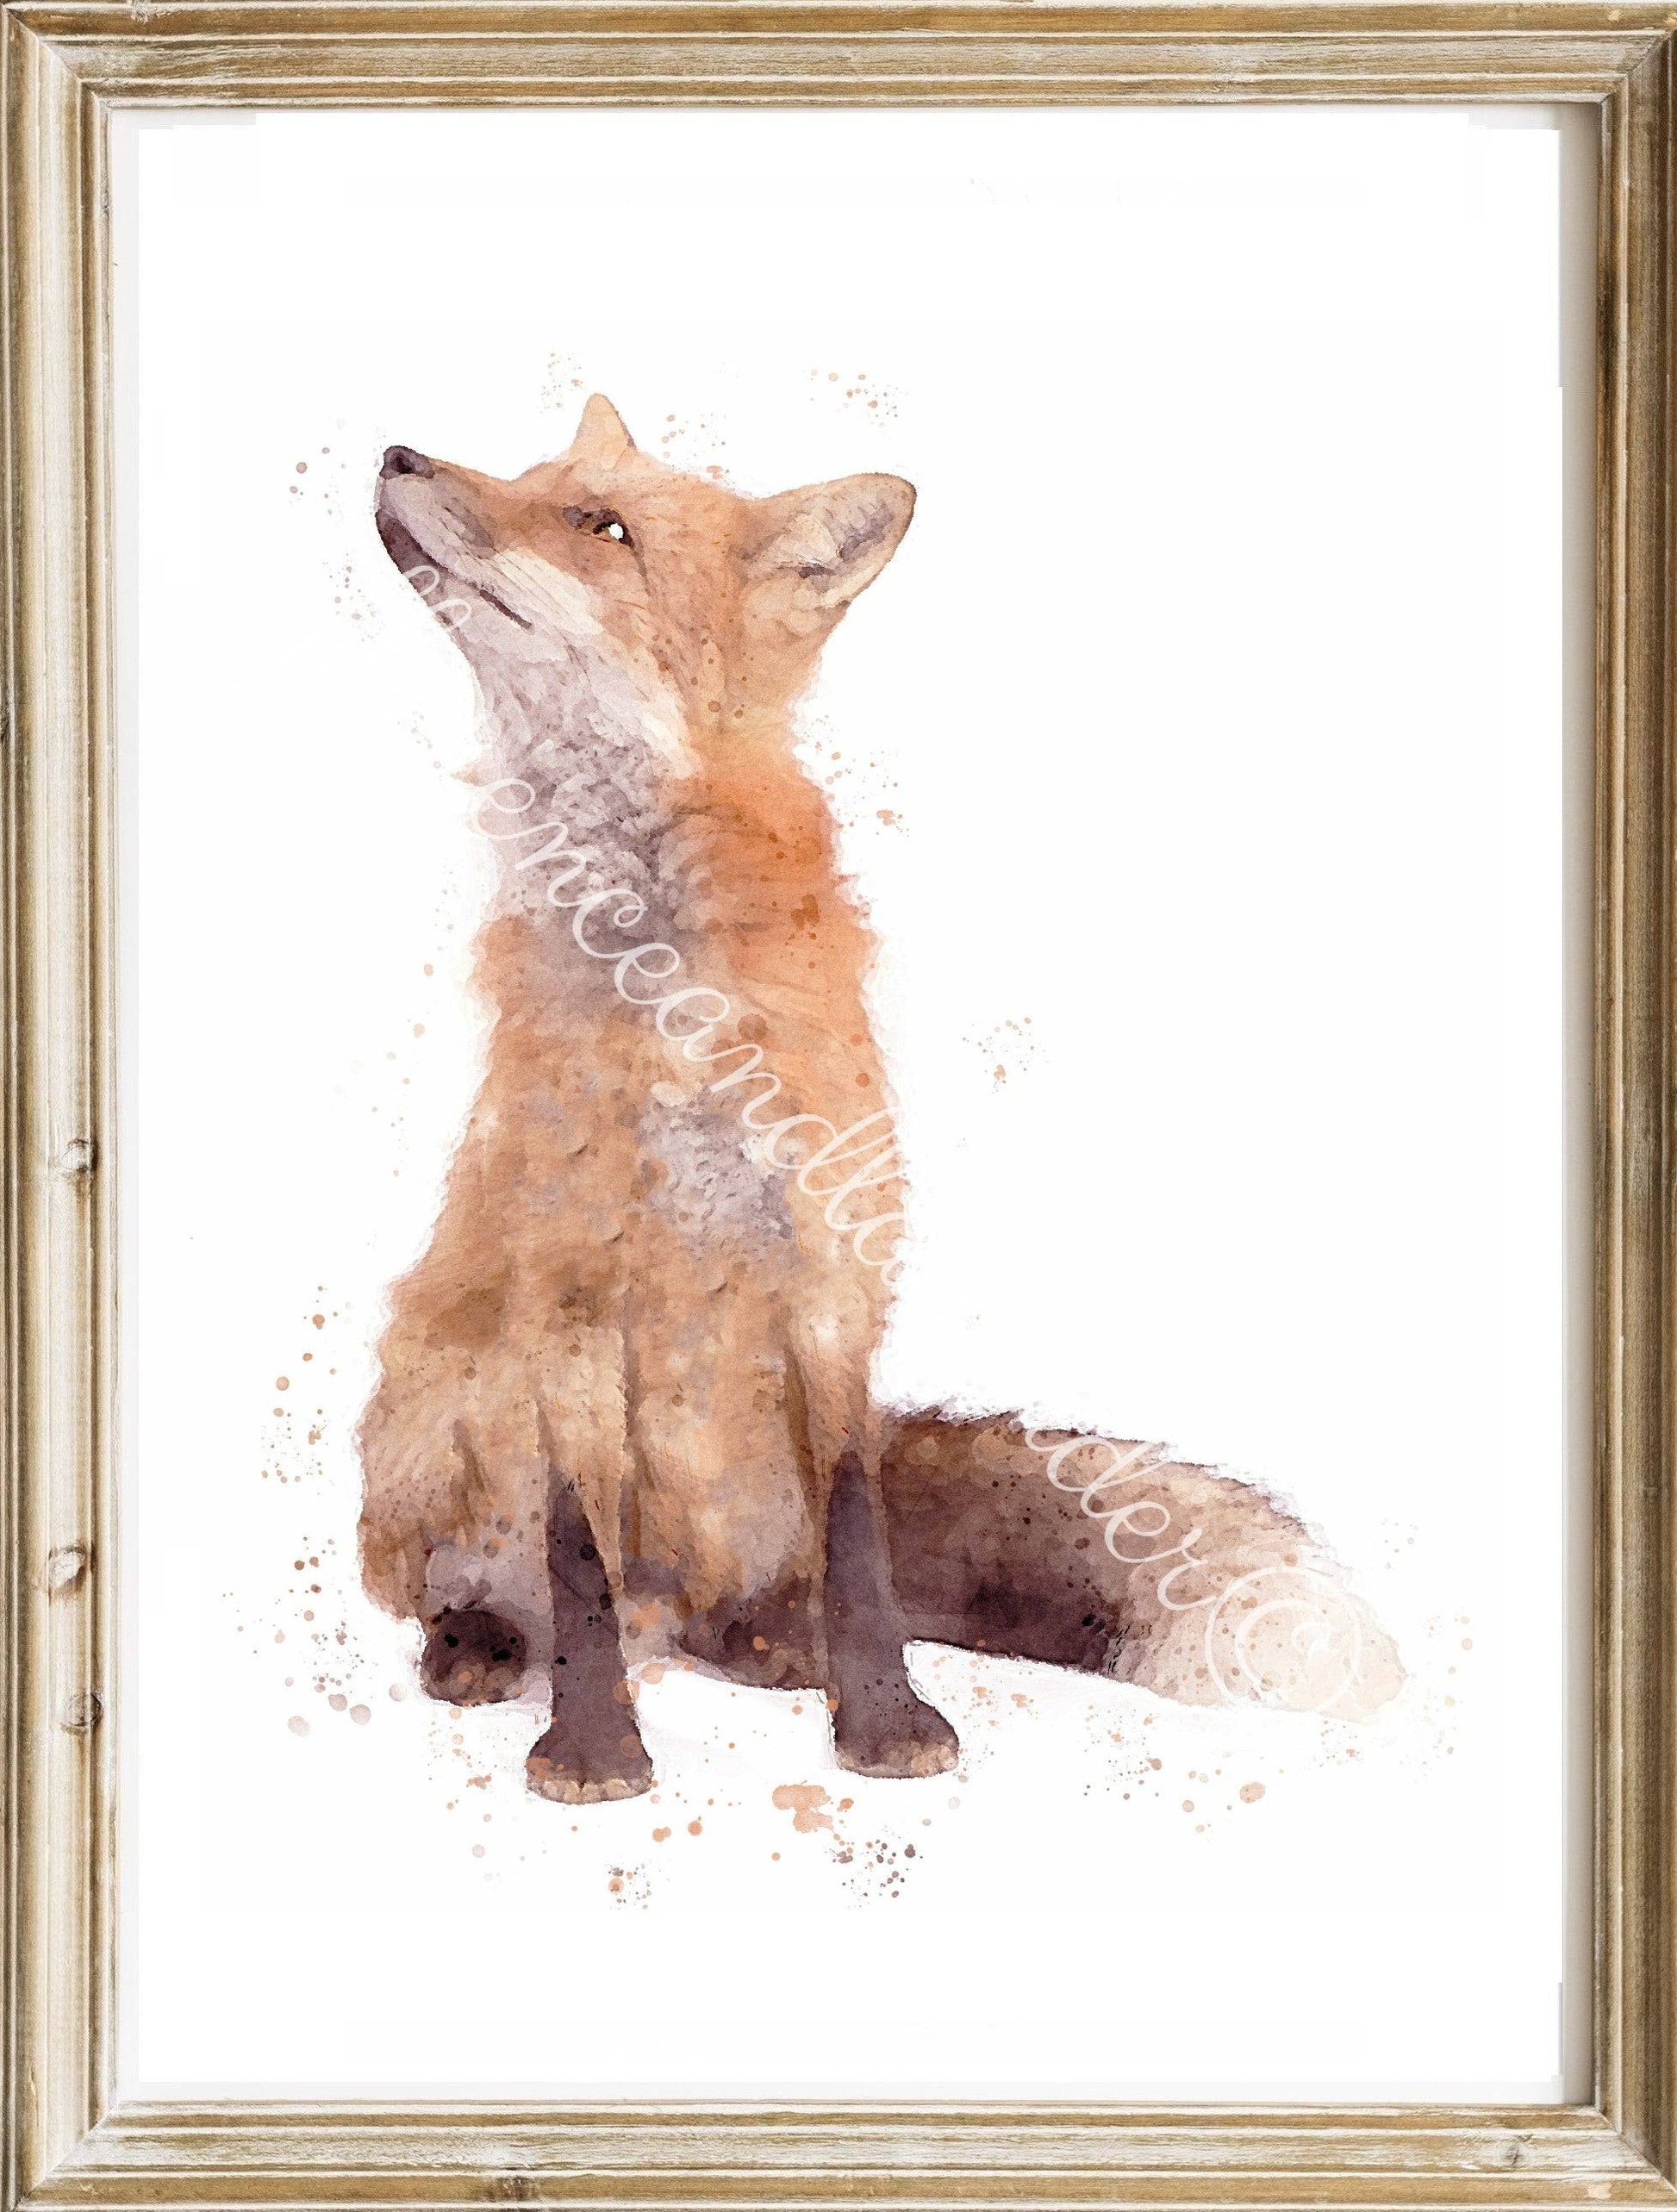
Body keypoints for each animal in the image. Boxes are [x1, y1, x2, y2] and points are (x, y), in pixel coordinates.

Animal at [361, 394, 1403, 1805]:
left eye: (599, 522)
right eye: (530, 475)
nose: (396, 453)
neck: (670, 999)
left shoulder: (835, 1273)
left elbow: (860, 1543)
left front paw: (886, 1718)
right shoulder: (565, 1298)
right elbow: (578, 1560)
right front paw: (593, 1745)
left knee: (742, 1601)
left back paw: (766, 1643)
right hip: (438, 1389)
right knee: (526, 1590)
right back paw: (480, 1643)